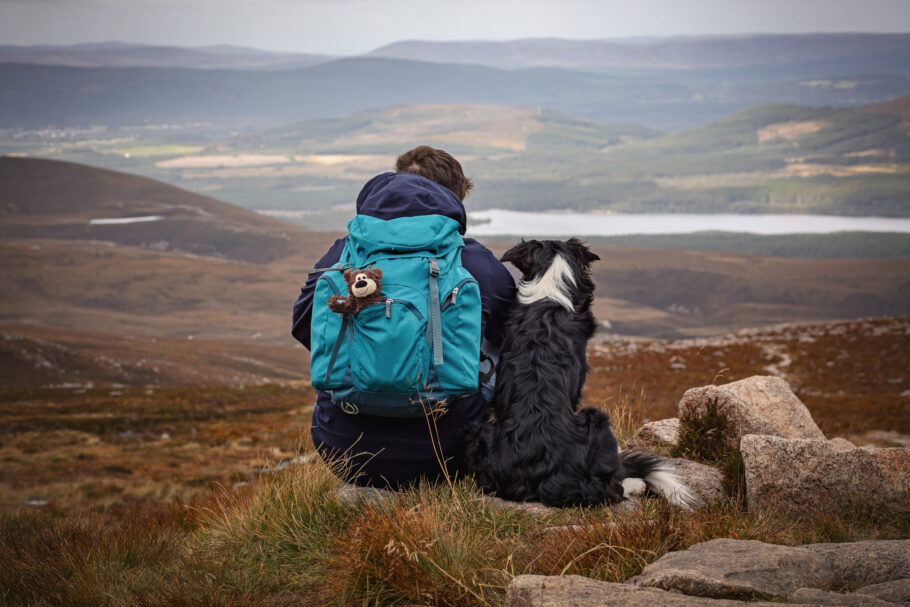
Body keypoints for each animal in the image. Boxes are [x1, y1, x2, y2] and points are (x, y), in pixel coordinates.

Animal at [466, 240, 696, 510]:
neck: (549, 294)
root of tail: (542, 476)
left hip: (480, 431)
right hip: (597, 419)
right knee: (612, 489)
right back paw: (634, 484)